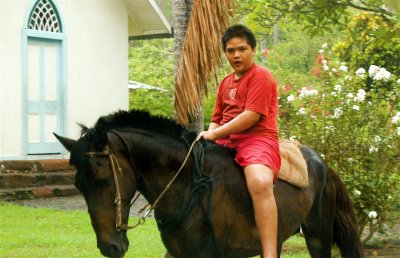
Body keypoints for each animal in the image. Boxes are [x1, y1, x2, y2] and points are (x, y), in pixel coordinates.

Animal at [54, 109, 364, 258]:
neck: (189, 183)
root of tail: (321, 161)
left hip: (317, 236)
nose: (109, 247)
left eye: (104, 180)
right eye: (79, 186)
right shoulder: (179, 254)